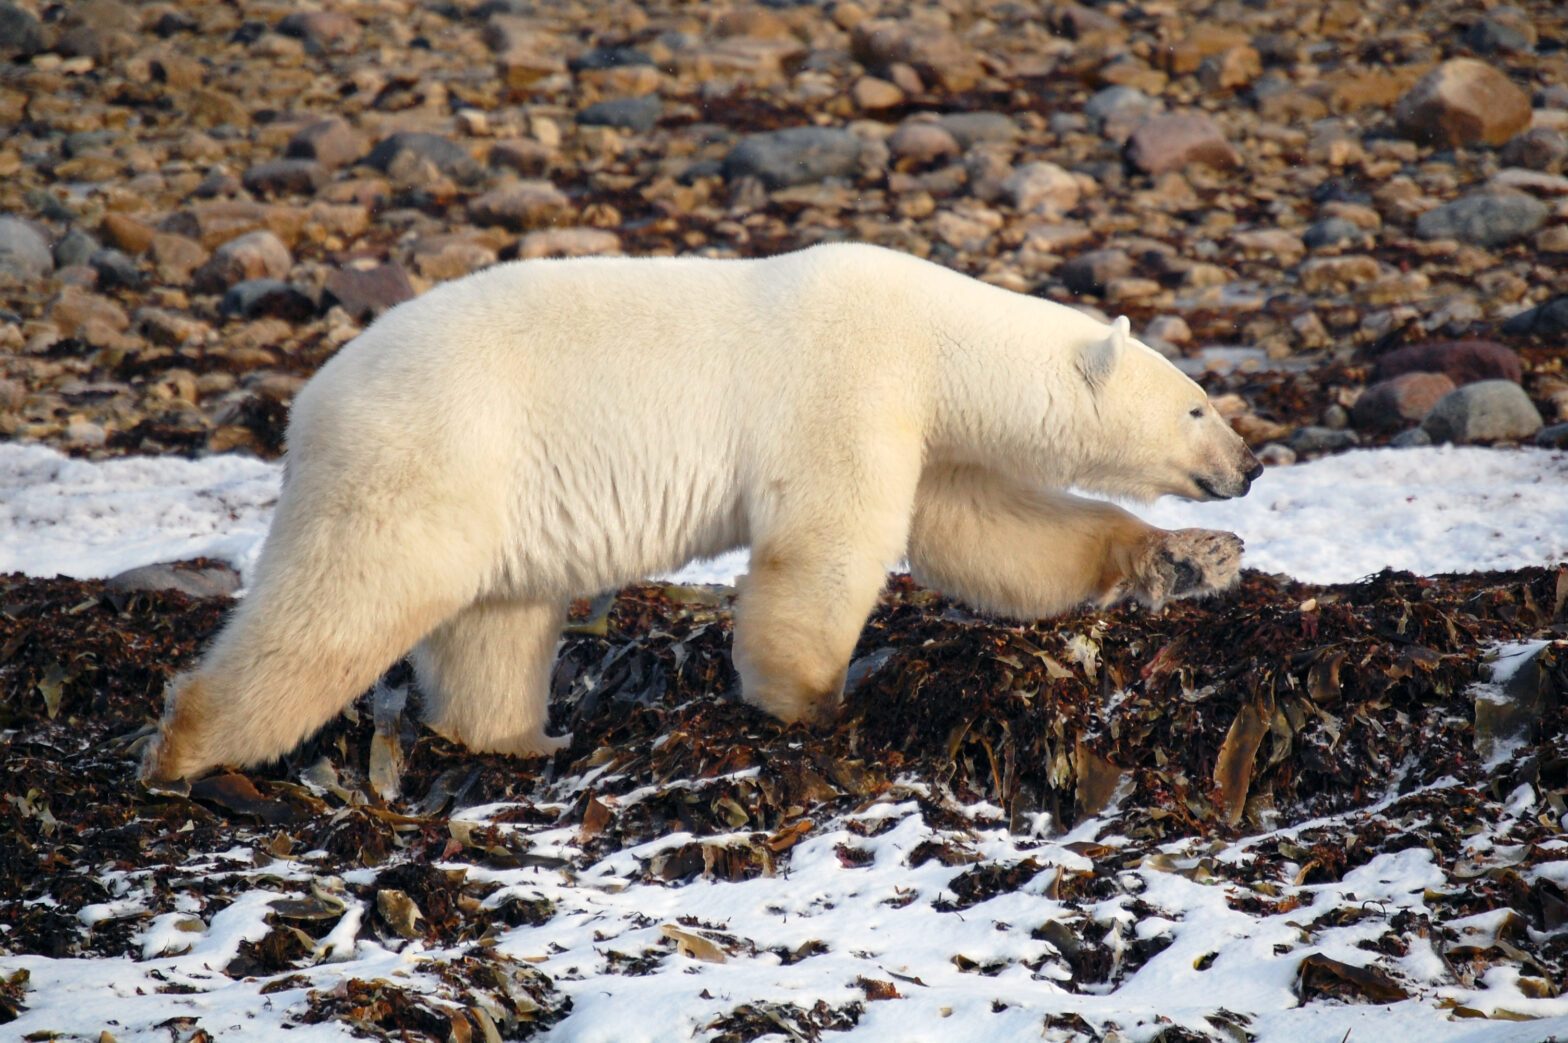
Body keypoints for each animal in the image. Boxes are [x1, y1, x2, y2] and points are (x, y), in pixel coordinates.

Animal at [137, 246, 1260, 781]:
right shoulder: (845, 386)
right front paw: (814, 697)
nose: (1247, 467)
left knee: (499, 621)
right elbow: (827, 543)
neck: (933, 334)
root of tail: (311, 401)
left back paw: (519, 739)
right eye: (1197, 405)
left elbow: (989, 530)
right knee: (345, 602)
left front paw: (1191, 557)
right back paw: (189, 747)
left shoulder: (926, 431)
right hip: (429, 455)